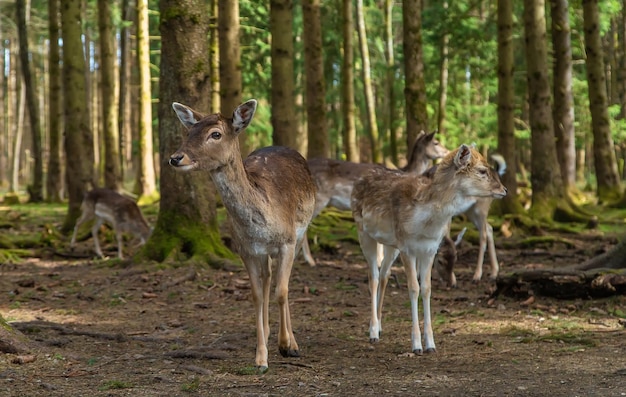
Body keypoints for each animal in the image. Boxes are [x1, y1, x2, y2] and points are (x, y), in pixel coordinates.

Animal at [167, 99, 316, 372]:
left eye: (215, 134)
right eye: (189, 131)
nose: (175, 158)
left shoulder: (288, 241)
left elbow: (282, 291)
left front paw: (287, 345)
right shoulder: (245, 249)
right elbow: (256, 294)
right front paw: (261, 358)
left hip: (302, 231)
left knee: (283, 283)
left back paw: (290, 341)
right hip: (263, 253)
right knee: (267, 278)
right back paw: (266, 332)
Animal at [348, 145, 504, 352]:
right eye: (482, 170)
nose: (504, 190)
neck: (425, 222)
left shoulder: (429, 248)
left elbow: (427, 288)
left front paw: (430, 344)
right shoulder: (407, 246)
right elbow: (413, 288)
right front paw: (416, 345)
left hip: (390, 243)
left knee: (384, 274)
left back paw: (380, 327)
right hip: (363, 231)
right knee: (372, 276)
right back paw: (373, 332)